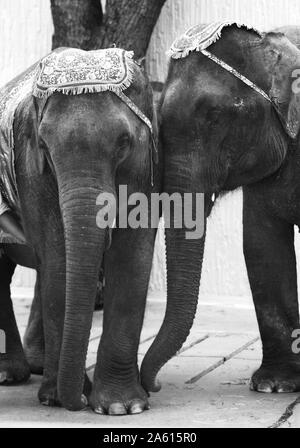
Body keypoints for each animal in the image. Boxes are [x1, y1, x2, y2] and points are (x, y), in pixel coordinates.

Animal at [0, 47, 162, 414]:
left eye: (124, 142)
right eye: (44, 146)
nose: (79, 401)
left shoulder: (146, 165)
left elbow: (132, 254)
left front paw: (122, 407)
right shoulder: (31, 167)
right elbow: (58, 255)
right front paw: (58, 399)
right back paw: (11, 375)